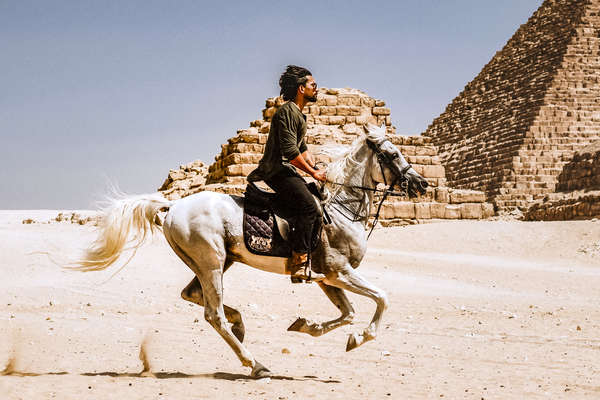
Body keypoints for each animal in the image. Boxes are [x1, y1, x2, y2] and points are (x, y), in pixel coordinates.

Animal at [75, 123, 428, 376]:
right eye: (392, 154)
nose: (422, 184)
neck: (343, 208)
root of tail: (173, 206)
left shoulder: (326, 278)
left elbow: (348, 313)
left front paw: (309, 326)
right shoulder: (338, 271)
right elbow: (381, 299)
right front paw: (360, 337)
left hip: (217, 262)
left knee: (192, 295)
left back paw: (240, 325)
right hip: (212, 262)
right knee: (212, 313)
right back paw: (254, 363)